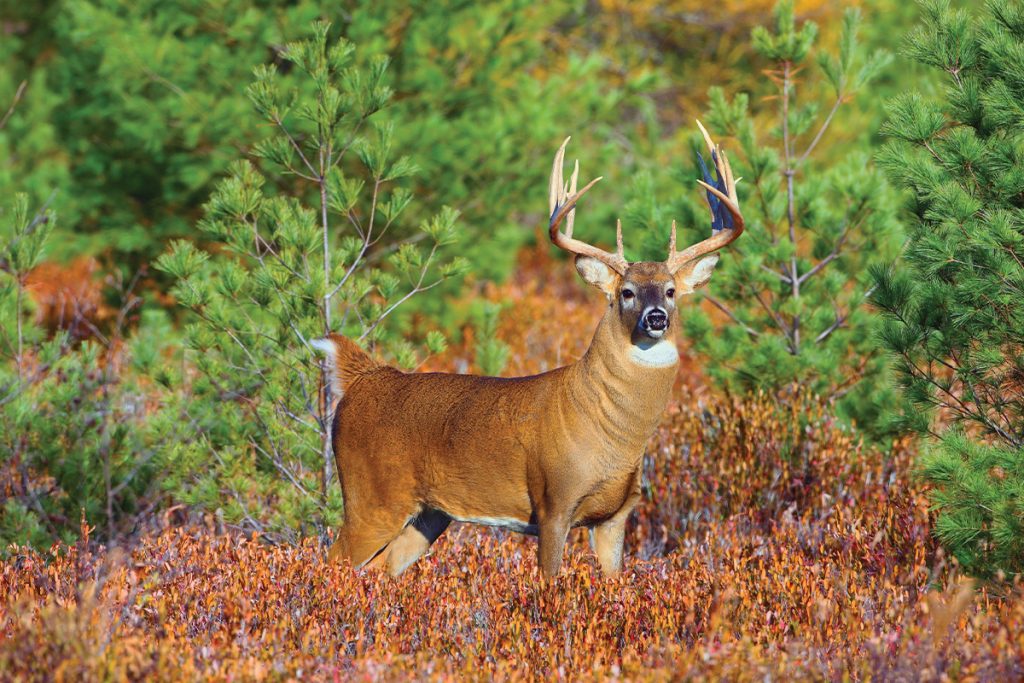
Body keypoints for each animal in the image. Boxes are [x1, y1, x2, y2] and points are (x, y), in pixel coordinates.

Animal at [311, 121, 745, 577]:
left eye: (671, 290)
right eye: (626, 292)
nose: (656, 317)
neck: (615, 436)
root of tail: (366, 377)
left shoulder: (617, 514)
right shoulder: (554, 500)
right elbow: (548, 579)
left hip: (429, 514)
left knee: (383, 568)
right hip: (370, 495)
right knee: (332, 560)